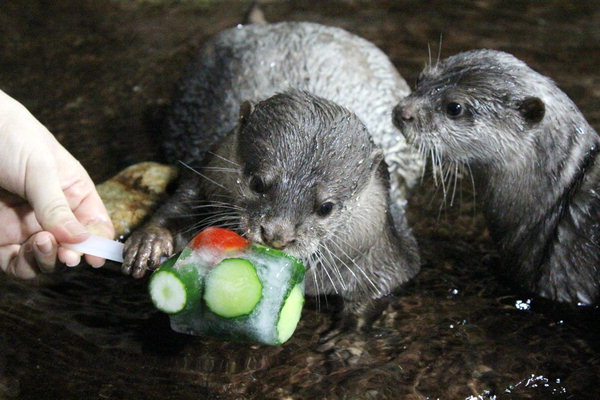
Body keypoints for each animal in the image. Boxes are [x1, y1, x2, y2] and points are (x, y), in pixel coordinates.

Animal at [122, 21, 422, 314]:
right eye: (258, 183)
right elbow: (178, 208)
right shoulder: (204, 174)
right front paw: (149, 242)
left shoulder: (384, 261)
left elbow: (373, 295)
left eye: (326, 207)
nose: (277, 235)